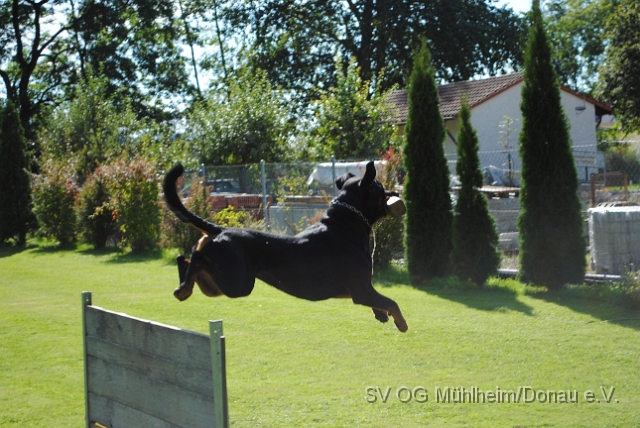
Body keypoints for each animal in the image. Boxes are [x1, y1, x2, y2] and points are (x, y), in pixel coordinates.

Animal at [162, 160, 408, 332]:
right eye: (381, 189)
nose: (396, 193)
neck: (346, 224)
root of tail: (221, 230)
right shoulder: (361, 290)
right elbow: (393, 302)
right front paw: (401, 323)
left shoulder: (363, 289)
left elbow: (383, 302)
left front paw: (381, 315)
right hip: (238, 282)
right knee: (194, 258)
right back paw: (183, 287)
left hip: (220, 283)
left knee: (188, 259)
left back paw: (183, 287)